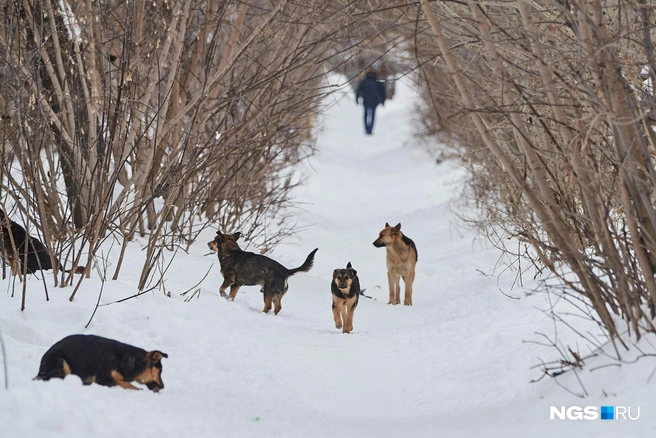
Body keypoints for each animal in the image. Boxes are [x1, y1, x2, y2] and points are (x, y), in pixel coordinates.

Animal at [34, 334, 168, 392]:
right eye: (160, 371)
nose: (163, 387)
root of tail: (40, 369)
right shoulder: (104, 379)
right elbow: (130, 385)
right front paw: (139, 390)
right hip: (61, 361)